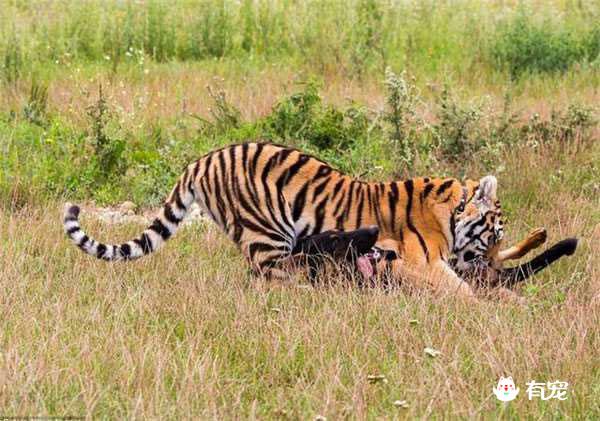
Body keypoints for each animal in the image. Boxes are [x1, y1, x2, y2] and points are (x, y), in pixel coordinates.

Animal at [63, 143, 504, 296]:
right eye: (496, 233)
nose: (496, 264)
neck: (451, 211)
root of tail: (201, 161)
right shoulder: (422, 264)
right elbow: (462, 292)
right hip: (268, 235)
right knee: (272, 281)